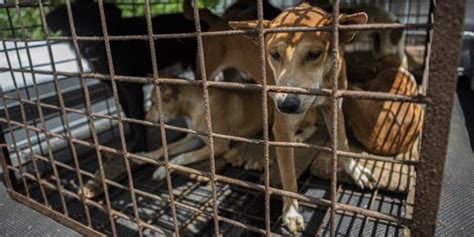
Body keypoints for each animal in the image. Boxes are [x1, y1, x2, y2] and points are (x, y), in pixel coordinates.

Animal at [47, 0, 208, 152]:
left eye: (99, 25)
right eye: (77, 28)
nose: (91, 50)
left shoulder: (132, 87)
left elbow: (136, 116)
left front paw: (140, 144)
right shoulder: (116, 87)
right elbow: (127, 112)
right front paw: (131, 135)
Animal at [231, 3, 376, 233]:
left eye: (314, 54)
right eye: (274, 54)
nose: (287, 105)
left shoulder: (334, 107)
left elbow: (342, 144)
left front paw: (355, 171)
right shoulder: (281, 128)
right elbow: (289, 175)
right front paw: (290, 211)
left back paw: (299, 137)